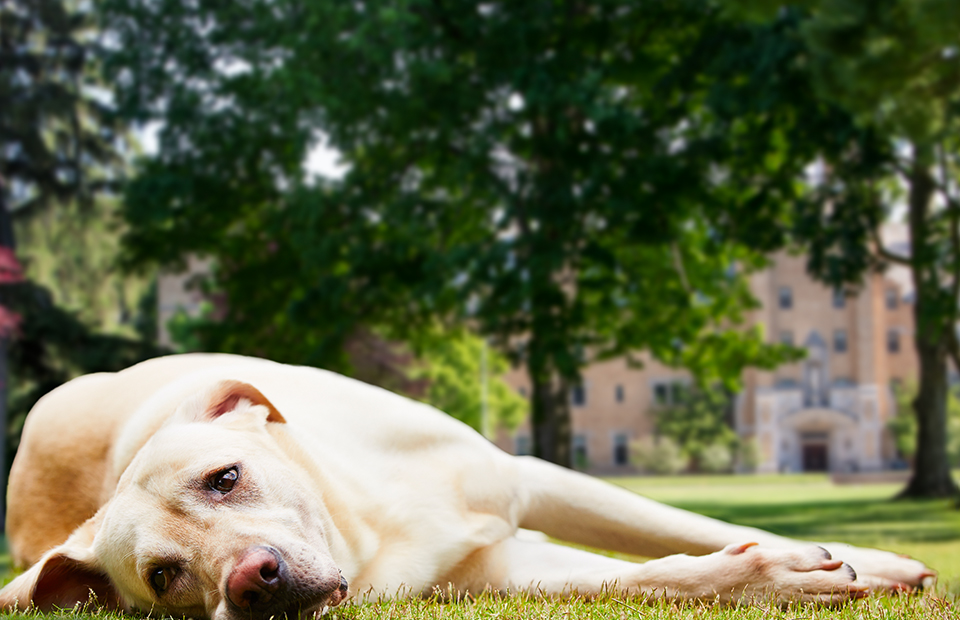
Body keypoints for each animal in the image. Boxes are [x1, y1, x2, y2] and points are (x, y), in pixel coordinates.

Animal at [0, 352, 932, 616]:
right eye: (164, 577)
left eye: (223, 478)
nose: (251, 585)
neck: (367, 524)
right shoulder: (498, 569)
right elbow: (660, 574)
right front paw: (782, 576)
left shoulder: (535, 481)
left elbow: (680, 530)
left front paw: (861, 558)